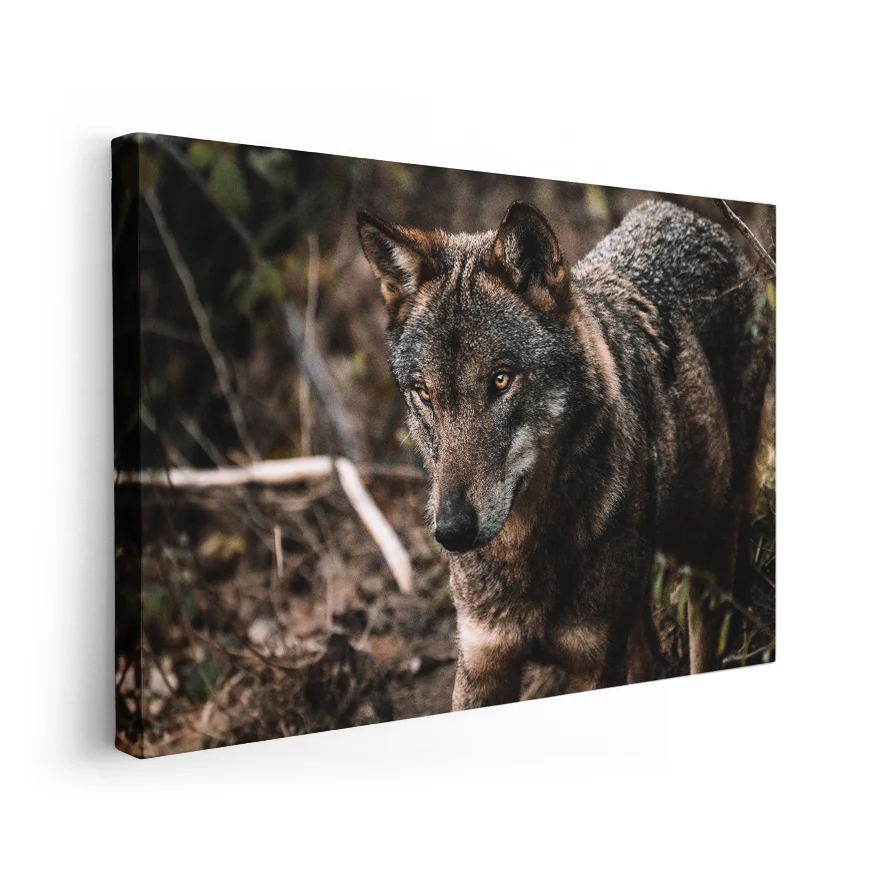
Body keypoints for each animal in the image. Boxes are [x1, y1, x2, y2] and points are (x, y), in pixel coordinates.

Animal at [358, 198, 773, 710]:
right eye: (425, 393)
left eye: (501, 380)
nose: (452, 532)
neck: (527, 550)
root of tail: (676, 210)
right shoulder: (483, 663)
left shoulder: (595, 662)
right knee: (649, 652)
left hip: (707, 551)